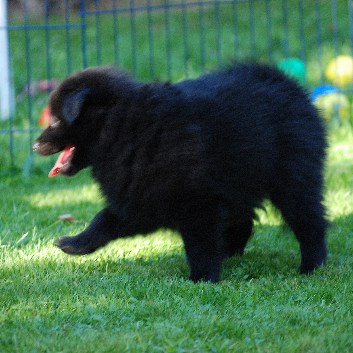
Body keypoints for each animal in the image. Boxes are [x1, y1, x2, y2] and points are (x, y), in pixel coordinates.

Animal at [33, 63, 328, 282]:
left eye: (56, 121)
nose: (35, 145)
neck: (126, 127)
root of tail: (287, 83)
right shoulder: (140, 196)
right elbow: (104, 220)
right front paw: (76, 243)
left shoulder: (197, 202)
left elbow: (199, 243)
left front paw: (202, 277)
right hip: (240, 180)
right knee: (243, 221)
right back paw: (230, 254)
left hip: (293, 177)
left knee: (309, 220)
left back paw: (312, 266)